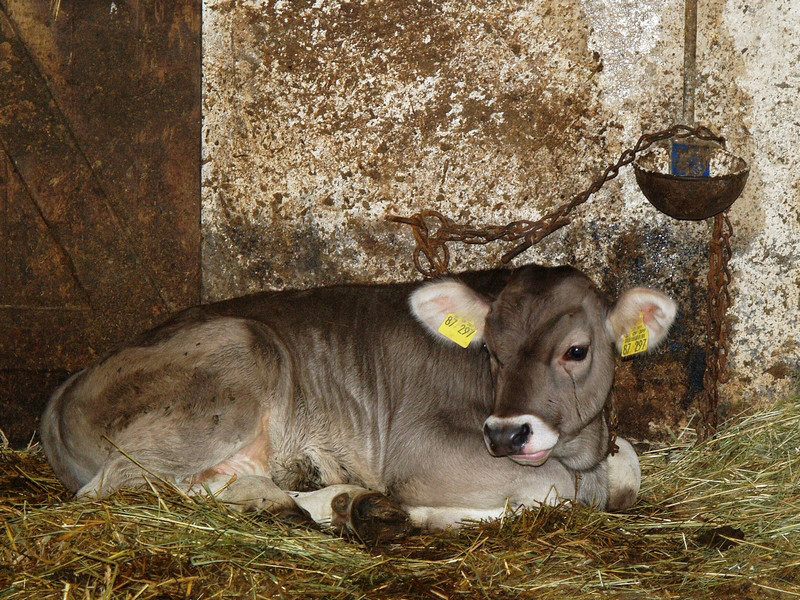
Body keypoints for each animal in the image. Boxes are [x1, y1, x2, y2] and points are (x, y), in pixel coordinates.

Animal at [40, 268, 672, 536]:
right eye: (490, 351)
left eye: (576, 350)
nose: (504, 434)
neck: (581, 448)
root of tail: (67, 387)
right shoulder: (421, 450)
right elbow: (557, 490)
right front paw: (421, 512)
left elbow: (629, 464)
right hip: (235, 359)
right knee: (113, 490)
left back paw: (324, 502)